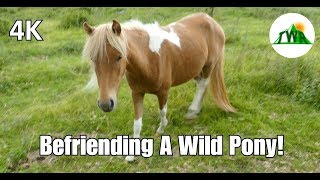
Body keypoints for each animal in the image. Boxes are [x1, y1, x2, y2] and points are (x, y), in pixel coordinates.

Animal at [82, 13, 238, 162]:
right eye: (92, 58)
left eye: (119, 56)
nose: (105, 104)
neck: (149, 57)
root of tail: (211, 20)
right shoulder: (137, 93)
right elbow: (137, 123)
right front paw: (131, 156)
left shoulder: (163, 92)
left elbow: (162, 112)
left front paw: (161, 129)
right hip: (196, 69)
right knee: (202, 85)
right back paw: (196, 110)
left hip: (208, 66)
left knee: (202, 85)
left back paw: (192, 111)